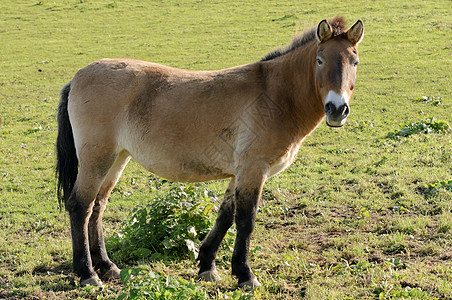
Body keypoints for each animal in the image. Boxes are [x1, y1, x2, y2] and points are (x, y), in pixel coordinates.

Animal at [55, 16, 364, 288]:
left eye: (355, 62)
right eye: (320, 59)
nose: (337, 110)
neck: (276, 94)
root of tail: (78, 76)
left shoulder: (239, 173)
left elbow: (225, 217)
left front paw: (207, 266)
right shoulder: (253, 169)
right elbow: (245, 220)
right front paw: (246, 275)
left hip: (116, 158)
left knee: (98, 207)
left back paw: (107, 267)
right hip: (98, 158)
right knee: (81, 206)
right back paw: (87, 274)